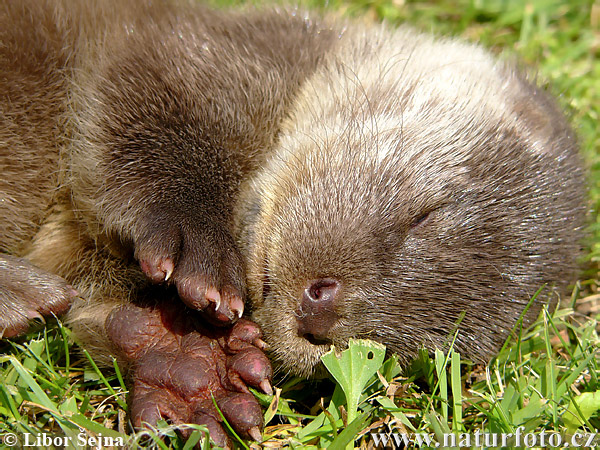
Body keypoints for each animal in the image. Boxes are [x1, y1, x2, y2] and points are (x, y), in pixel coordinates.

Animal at [0, 0, 580, 444]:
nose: (321, 316)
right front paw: (199, 249)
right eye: (425, 217)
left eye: (424, 348)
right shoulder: (195, 48)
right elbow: (147, 111)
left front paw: (186, 366)